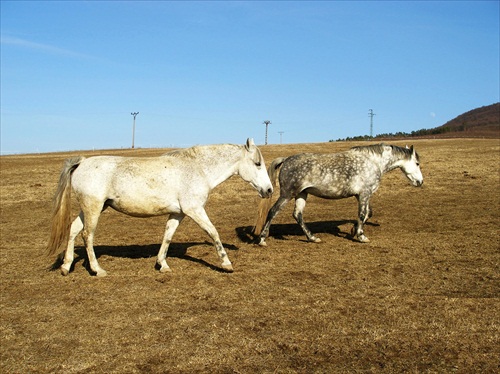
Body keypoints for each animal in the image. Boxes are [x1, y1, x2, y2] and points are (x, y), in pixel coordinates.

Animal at [47, 139, 274, 276]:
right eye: (257, 163)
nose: (269, 190)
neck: (197, 169)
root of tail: (82, 162)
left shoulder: (178, 214)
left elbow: (167, 236)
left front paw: (162, 264)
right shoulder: (194, 210)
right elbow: (213, 232)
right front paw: (226, 264)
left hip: (91, 208)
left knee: (73, 230)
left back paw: (66, 266)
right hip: (93, 208)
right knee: (87, 235)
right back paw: (97, 269)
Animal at [254, 143, 422, 245]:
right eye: (417, 163)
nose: (420, 182)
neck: (373, 162)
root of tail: (286, 159)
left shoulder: (362, 195)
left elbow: (368, 213)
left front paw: (353, 230)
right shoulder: (365, 193)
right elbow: (362, 214)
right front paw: (361, 236)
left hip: (302, 194)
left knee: (297, 215)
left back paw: (312, 237)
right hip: (288, 194)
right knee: (273, 211)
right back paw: (262, 239)